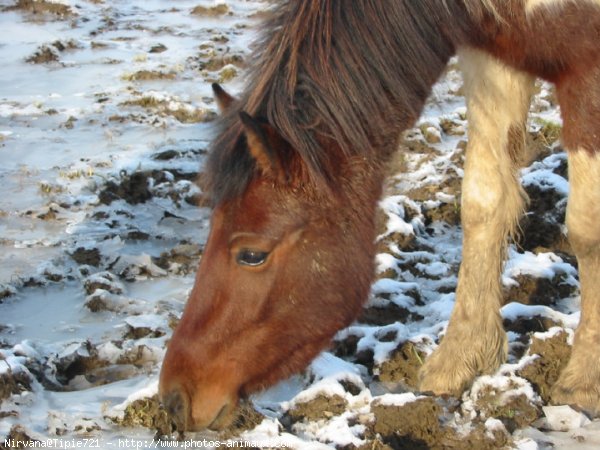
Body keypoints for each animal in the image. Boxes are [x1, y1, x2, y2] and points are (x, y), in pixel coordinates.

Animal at [158, 0, 600, 430]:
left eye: (252, 254)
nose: (175, 400)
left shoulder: (587, 69)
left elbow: (586, 228)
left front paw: (584, 380)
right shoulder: (495, 60)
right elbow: (483, 203)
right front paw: (459, 358)